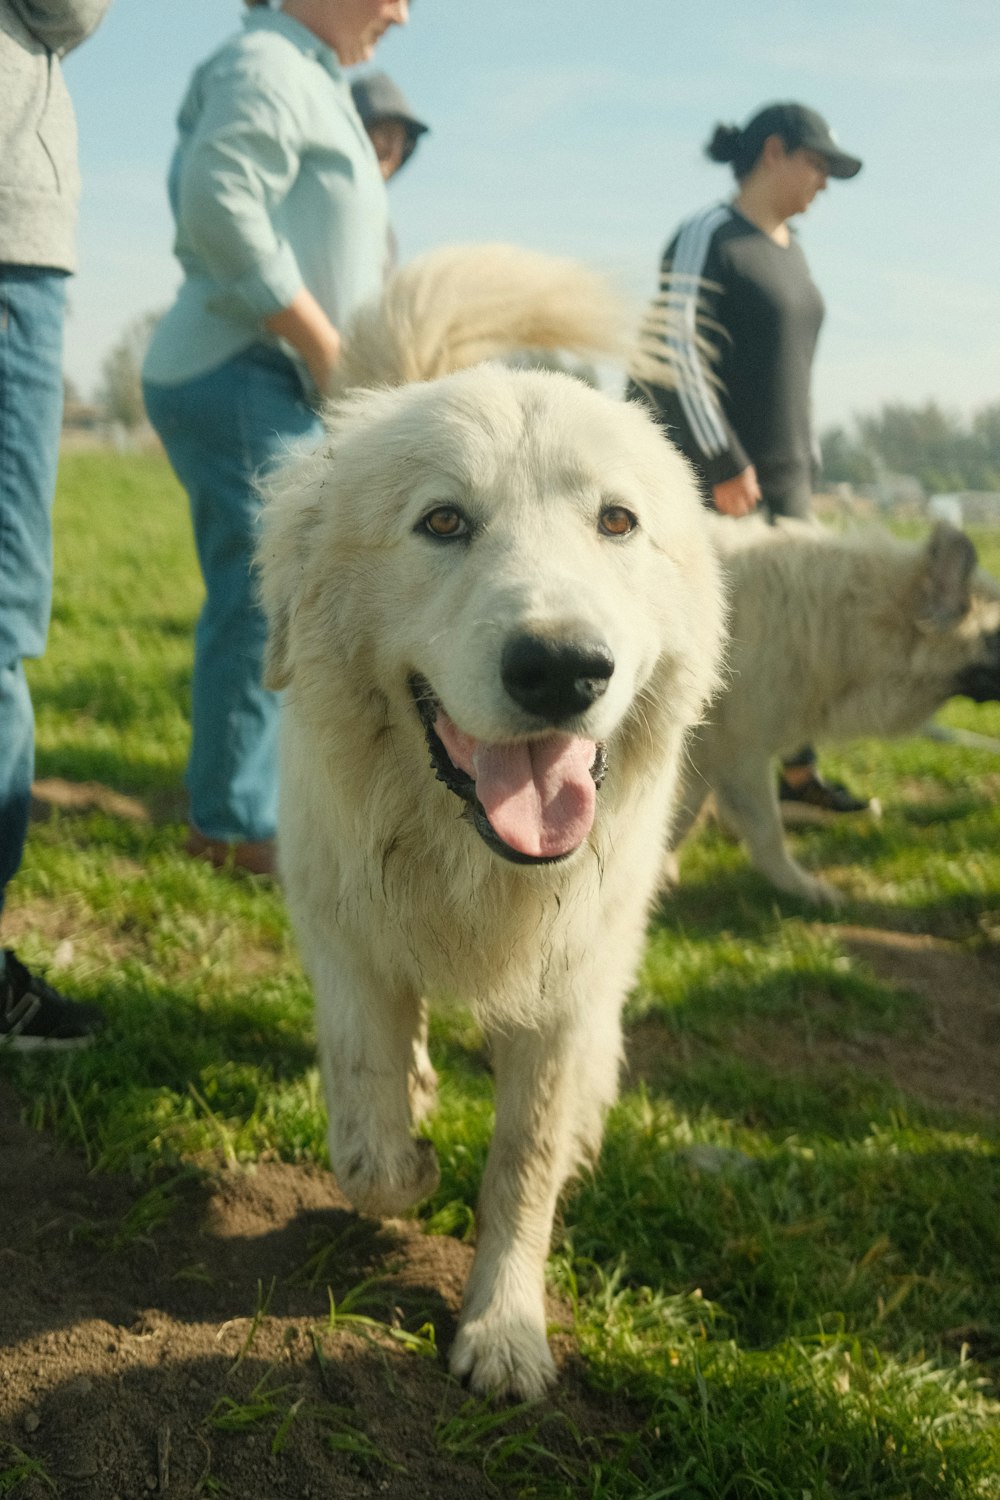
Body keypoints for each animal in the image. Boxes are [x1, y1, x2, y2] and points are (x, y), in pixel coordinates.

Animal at [257, 243, 728, 1392]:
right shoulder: (347, 937)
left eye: (616, 521)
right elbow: (368, 1127)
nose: (562, 668)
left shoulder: (570, 988)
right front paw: (407, 1154)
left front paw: (505, 1330)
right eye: (442, 522)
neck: (476, 862)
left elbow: (527, 1164)